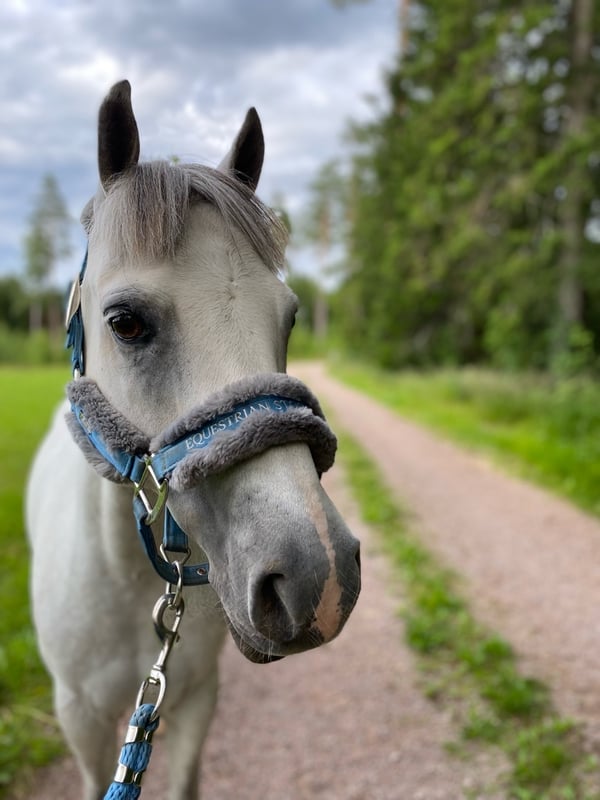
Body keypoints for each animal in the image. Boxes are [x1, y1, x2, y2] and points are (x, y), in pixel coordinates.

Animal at [25, 83, 358, 800]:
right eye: (125, 321)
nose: (316, 577)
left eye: (291, 317)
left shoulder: (196, 696)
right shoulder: (81, 717)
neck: (125, 579)